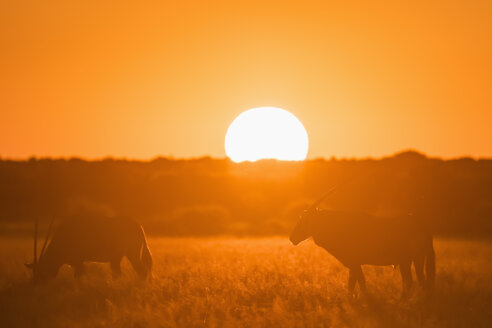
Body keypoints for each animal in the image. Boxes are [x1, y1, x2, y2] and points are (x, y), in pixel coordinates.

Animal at [24, 215, 152, 282]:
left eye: (40, 270)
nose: (36, 284)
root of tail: (139, 227)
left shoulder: (79, 262)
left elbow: (78, 278)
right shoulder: (76, 264)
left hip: (125, 256)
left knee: (140, 271)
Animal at [290, 187, 436, 298]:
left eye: (306, 220)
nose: (292, 238)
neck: (339, 226)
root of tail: (421, 226)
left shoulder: (355, 264)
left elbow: (359, 283)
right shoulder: (353, 265)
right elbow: (353, 284)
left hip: (409, 260)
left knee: (413, 281)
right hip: (412, 260)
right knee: (417, 281)